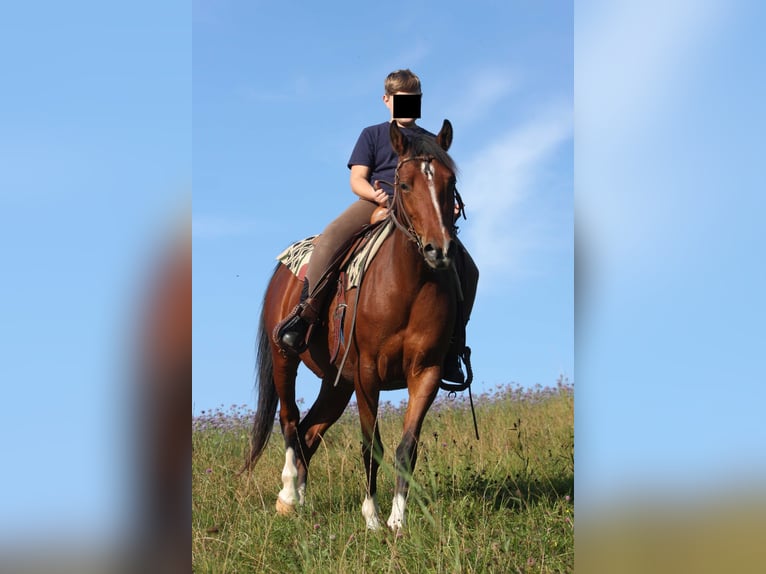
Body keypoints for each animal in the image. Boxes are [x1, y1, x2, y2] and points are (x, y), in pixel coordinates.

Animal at [244, 119, 461, 530]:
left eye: (450, 181)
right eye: (404, 184)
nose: (439, 250)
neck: (406, 285)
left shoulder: (425, 372)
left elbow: (406, 447)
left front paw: (397, 521)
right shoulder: (367, 373)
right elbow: (370, 444)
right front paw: (371, 518)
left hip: (336, 382)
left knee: (310, 430)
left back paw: (301, 500)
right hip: (286, 358)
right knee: (290, 420)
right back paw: (288, 494)